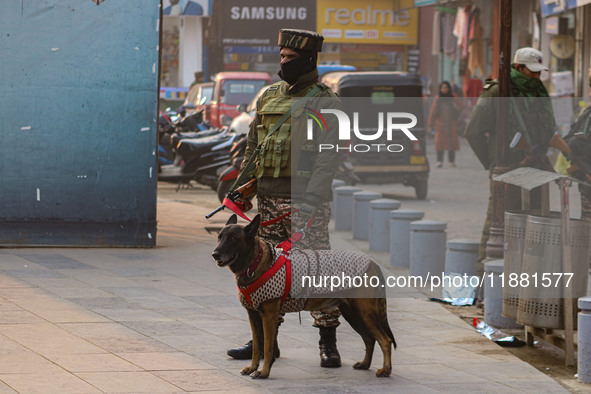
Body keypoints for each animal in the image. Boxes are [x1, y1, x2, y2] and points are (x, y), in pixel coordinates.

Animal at [210, 214, 396, 380]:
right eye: (220, 237)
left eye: (233, 238)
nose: (215, 254)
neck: (255, 263)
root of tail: (373, 263)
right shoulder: (254, 316)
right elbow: (257, 346)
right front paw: (252, 367)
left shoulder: (269, 316)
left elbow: (268, 347)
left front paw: (263, 372)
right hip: (353, 314)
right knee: (369, 339)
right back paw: (365, 364)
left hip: (364, 313)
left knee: (385, 340)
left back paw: (385, 370)